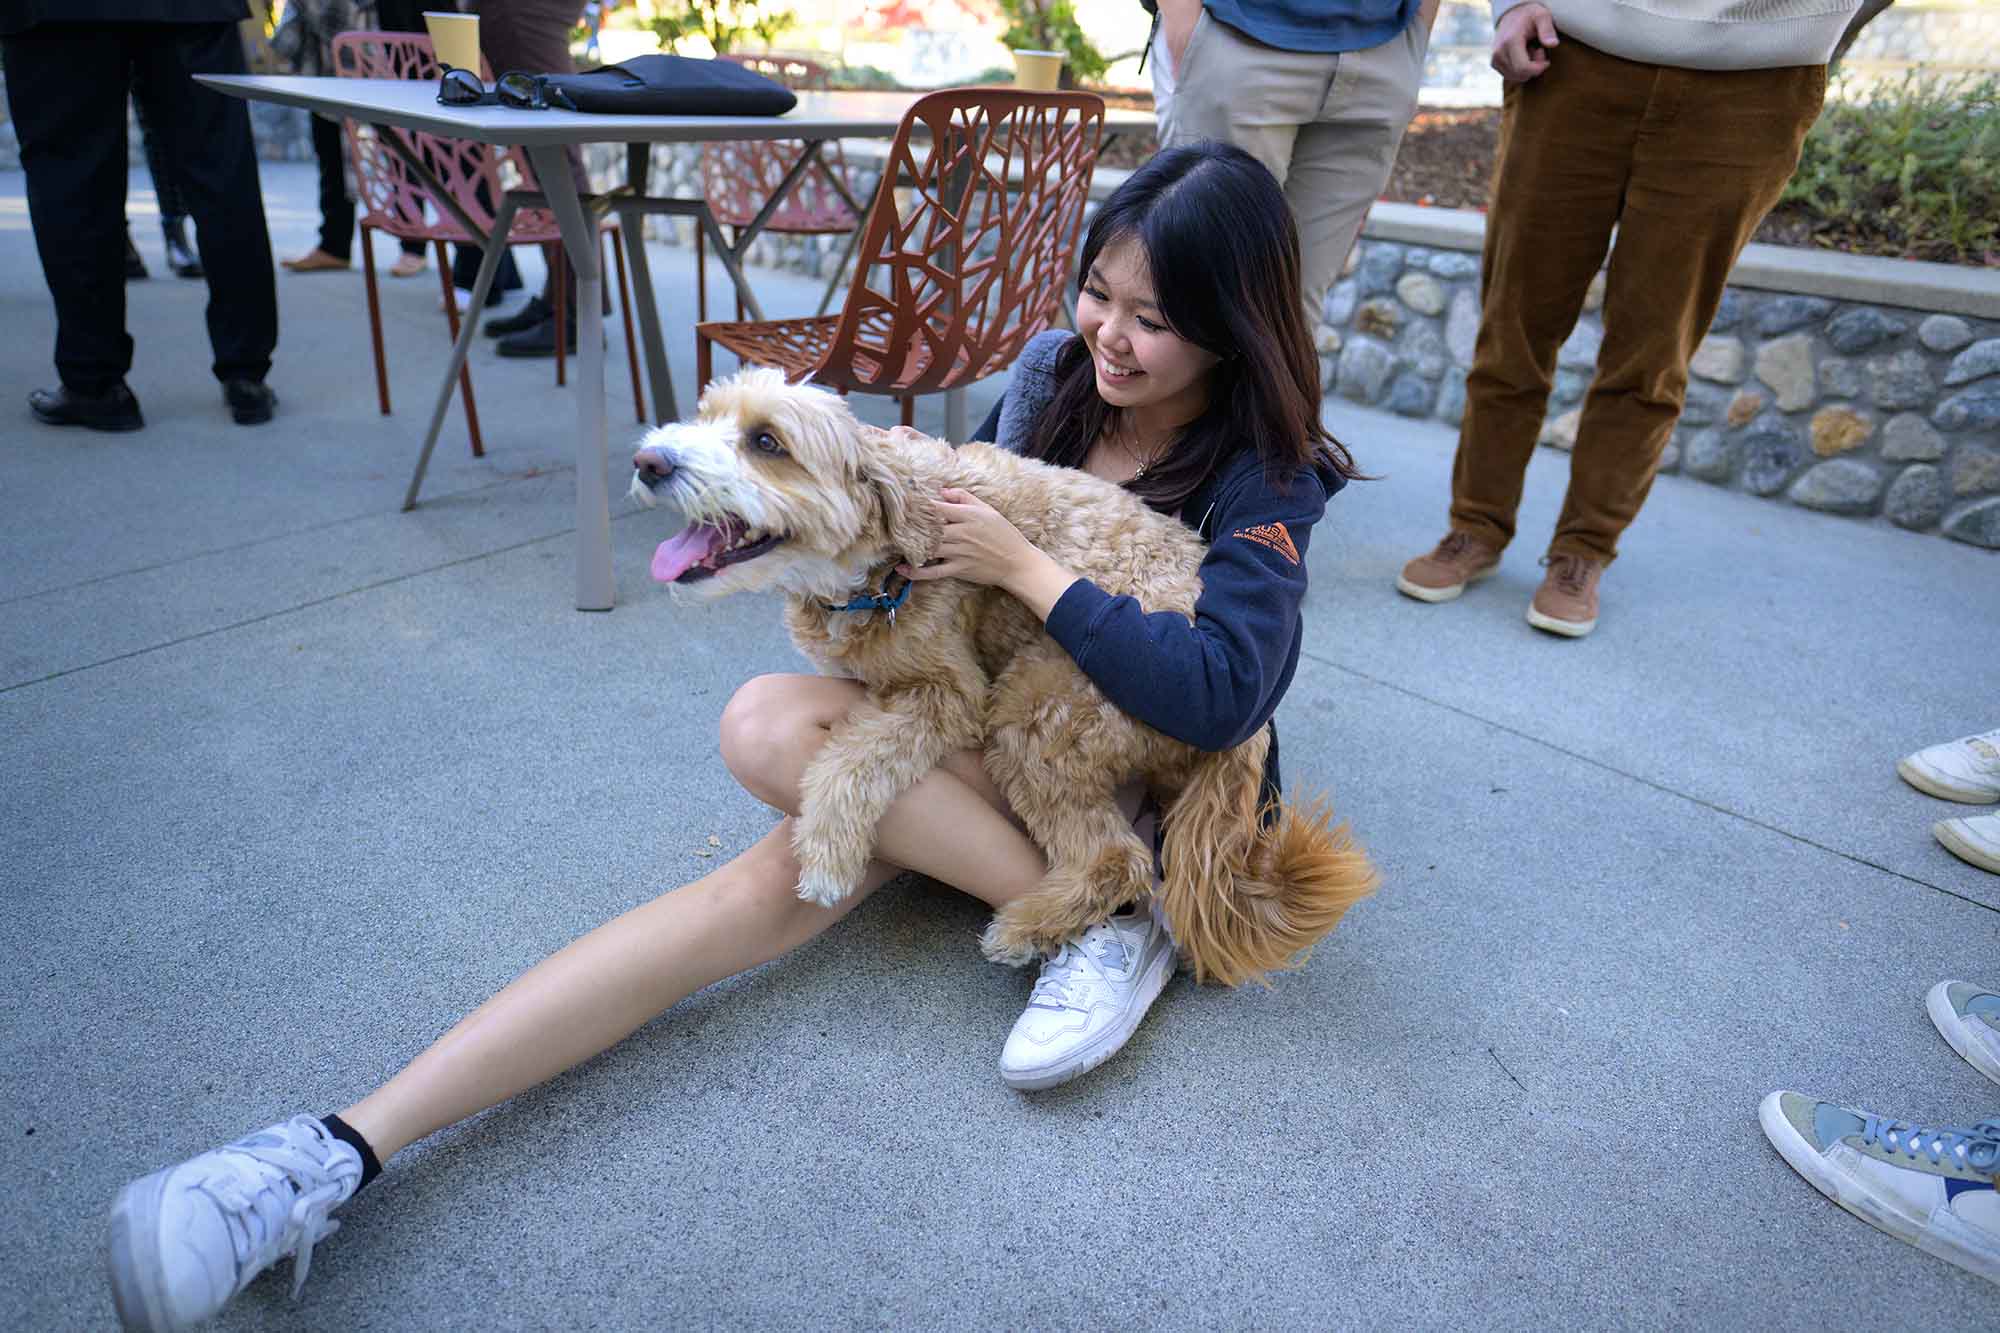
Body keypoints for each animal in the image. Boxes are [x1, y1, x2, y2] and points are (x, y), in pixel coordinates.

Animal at [628, 368, 1376, 980]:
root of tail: (1251, 725)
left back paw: (1028, 927)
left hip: (1037, 710)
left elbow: (853, 758)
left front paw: (828, 854)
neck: (883, 562)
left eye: (768, 441)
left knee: (1120, 859)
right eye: (704, 416)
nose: (648, 460)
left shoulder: (953, 694)